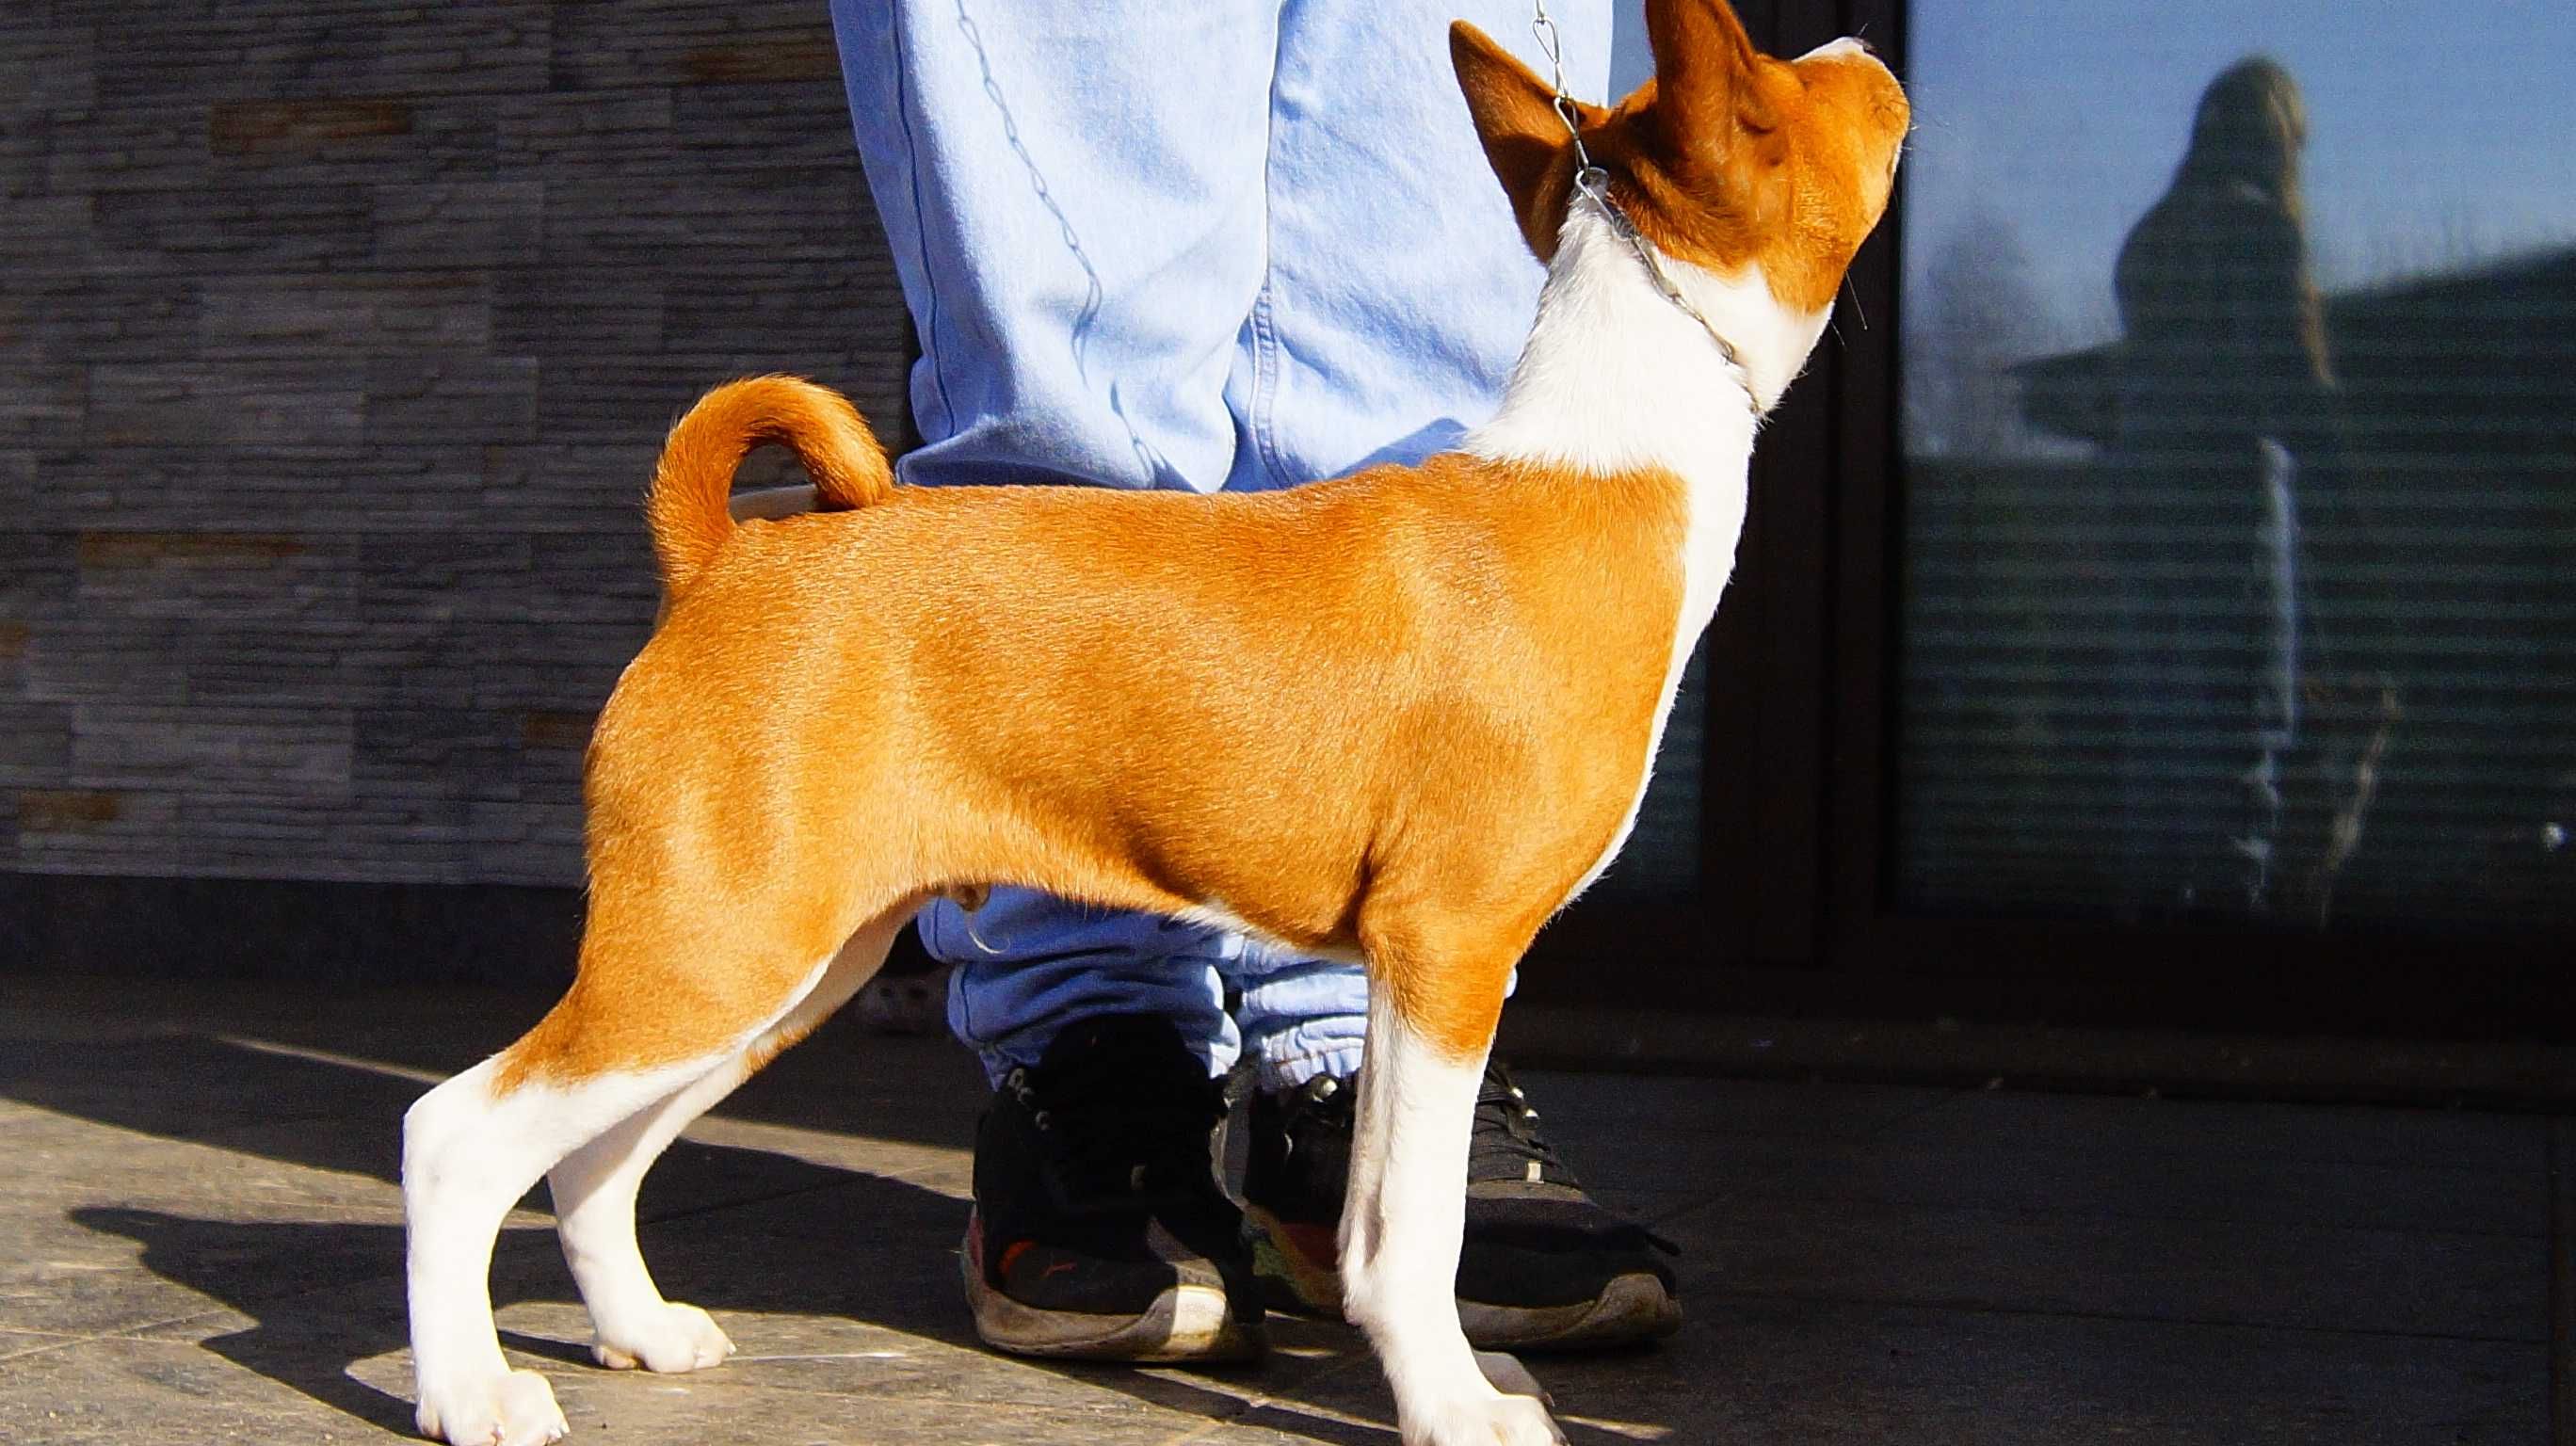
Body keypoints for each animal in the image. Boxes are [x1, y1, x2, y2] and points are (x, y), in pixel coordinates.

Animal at [396, 5, 1895, 1433]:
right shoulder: (1449, 947)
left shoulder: (1408, 973)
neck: (1603, 459)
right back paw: (472, 1394)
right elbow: (1412, 1234)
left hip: (777, 959)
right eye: (1804, 90)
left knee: (593, 1153)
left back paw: (639, 1333)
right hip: (717, 946)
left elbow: (1370, 1223)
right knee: (455, 1135)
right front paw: (1453, 1407)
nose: (1867, 45)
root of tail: (723, 558)